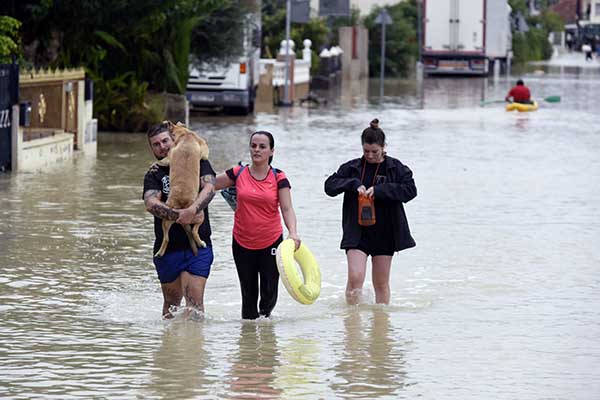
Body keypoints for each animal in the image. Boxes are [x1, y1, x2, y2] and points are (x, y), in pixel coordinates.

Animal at [154, 122, 210, 258]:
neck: (185, 134)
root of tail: (182, 204)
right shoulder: (204, 149)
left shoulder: (169, 156)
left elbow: (162, 160)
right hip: (199, 215)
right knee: (194, 231)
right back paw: (201, 243)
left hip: (166, 219)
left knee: (167, 238)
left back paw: (160, 252)